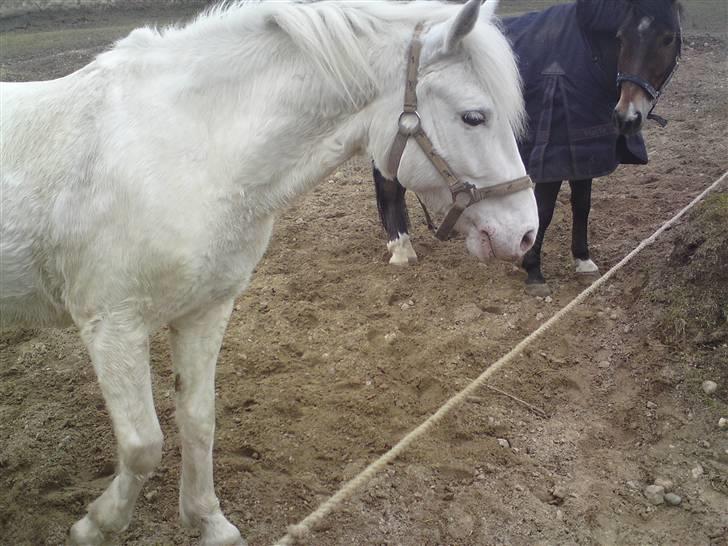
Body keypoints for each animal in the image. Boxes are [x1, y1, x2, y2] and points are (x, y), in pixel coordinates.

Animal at [0, 2, 536, 540]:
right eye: (474, 116)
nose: (527, 233)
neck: (187, 151)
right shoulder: (112, 325)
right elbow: (142, 445)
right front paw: (95, 526)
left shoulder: (204, 311)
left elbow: (199, 420)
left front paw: (209, 522)